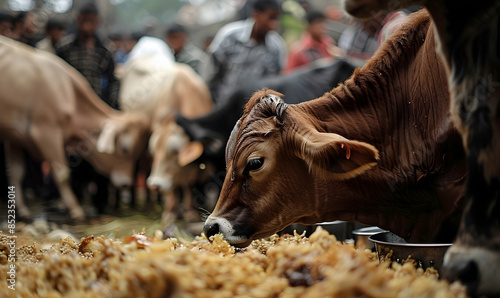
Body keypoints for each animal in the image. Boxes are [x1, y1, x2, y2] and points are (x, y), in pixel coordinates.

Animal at [0, 35, 149, 221]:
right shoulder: (46, 133)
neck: (68, 92)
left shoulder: (14, 136)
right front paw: (76, 210)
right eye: (125, 148)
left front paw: (22, 210)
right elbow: (62, 174)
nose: (125, 184)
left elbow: (16, 173)